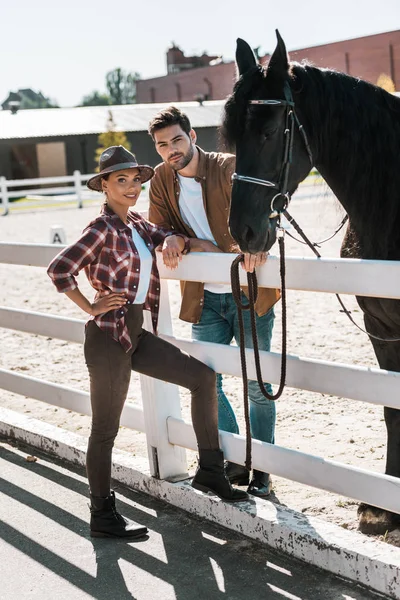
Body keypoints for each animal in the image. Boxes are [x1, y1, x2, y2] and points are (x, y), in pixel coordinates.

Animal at [220, 31, 400, 536]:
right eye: (230, 135)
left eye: (268, 131)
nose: (243, 231)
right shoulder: (381, 328)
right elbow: (392, 409)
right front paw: (382, 508)